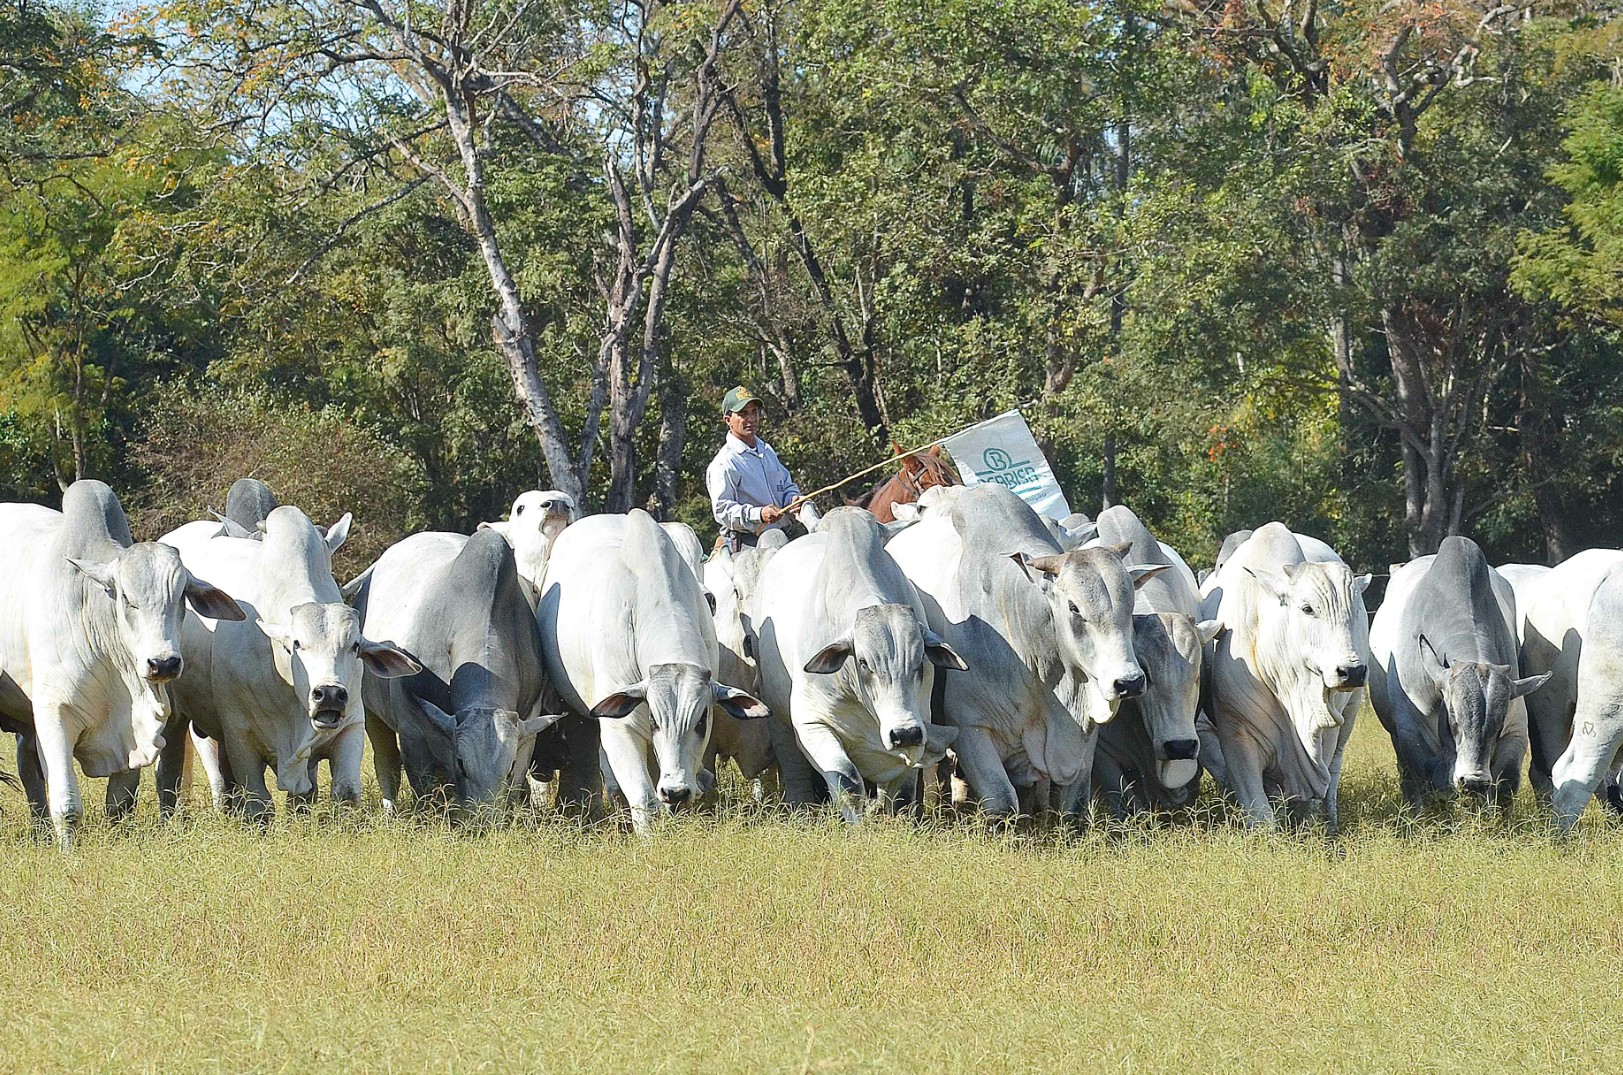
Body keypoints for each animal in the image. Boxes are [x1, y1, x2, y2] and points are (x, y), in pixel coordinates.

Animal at [0, 483, 243, 844]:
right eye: (127, 598)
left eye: (181, 595)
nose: (163, 664)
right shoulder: (53, 713)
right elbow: (67, 804)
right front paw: (67, 850)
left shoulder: (133, 733)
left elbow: (120, 803)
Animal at [162, 509, 418, 821]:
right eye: (296, 644)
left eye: (355, 645)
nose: (330, 694)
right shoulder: (239, 737)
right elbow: (259, 803)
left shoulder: (351, 727)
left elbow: (341, 792)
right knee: (219, 783)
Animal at [749, 509, 960, 821]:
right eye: (863, 662)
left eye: (920, 658)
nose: (904, 733)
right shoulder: (811, 725)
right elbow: (848, 783)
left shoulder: (918, 727)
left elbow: (901, 796)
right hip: (777, 716)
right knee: (792, 764)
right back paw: (800, 807)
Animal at [1376, 539, 1551, 808]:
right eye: (1453, 717)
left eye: (1499, 723)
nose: (1473, 781)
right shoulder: (1408, 732)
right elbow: (1420, 783)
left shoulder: (1516, 727)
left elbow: (1506, 782)